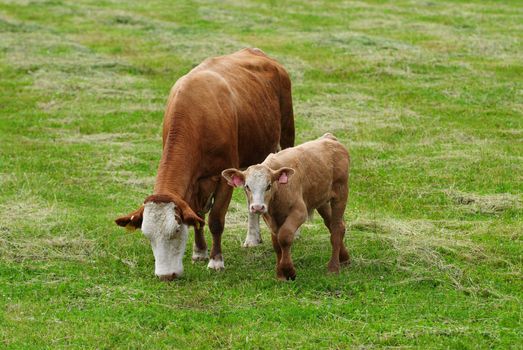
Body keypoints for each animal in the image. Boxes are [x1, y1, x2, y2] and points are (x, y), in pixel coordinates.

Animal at [114, 47, 294, 280]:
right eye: (147, 235)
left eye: (176, 230)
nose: (165, 275)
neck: (195, 117)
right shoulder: (194, 182)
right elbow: (197, 216)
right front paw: (199, 251)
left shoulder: (224, 178)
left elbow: (215, 220)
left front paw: (216, 261)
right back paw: (252, 237)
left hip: (287, 131)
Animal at [222, 133, 350, 280]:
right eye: (247, 186)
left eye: (269, 186)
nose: (257, 207)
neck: (279, 192)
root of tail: (329, 138)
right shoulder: (270, 218)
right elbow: (276, 243)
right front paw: (280, 274)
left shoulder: (299, 212)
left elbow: (284, 237)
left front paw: (288, 271)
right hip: (322, 200)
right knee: (333, 224)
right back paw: (344, 258)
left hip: (341, 193)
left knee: (337, 228)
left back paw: (333, 268)